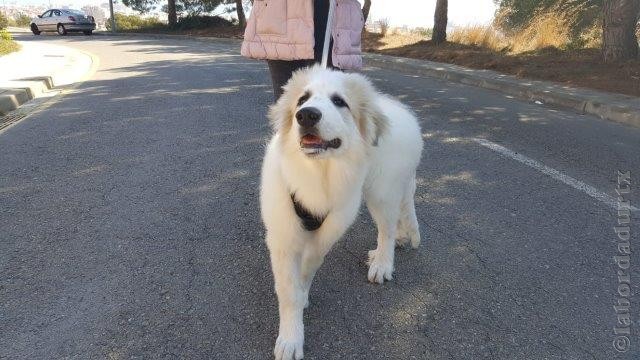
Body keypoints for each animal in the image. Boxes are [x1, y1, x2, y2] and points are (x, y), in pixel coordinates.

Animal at [260, 66, 424, 358]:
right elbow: (289, 290)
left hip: (381, 193)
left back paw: (382, 263)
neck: (317, 172)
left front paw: (302, 297)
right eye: (302, 100)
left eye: (339, 101)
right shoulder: (283, 236)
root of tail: (403, 112)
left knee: (387, 229)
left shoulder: (331, 227)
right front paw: (291, 338)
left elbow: (310, 263)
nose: (307, 115)